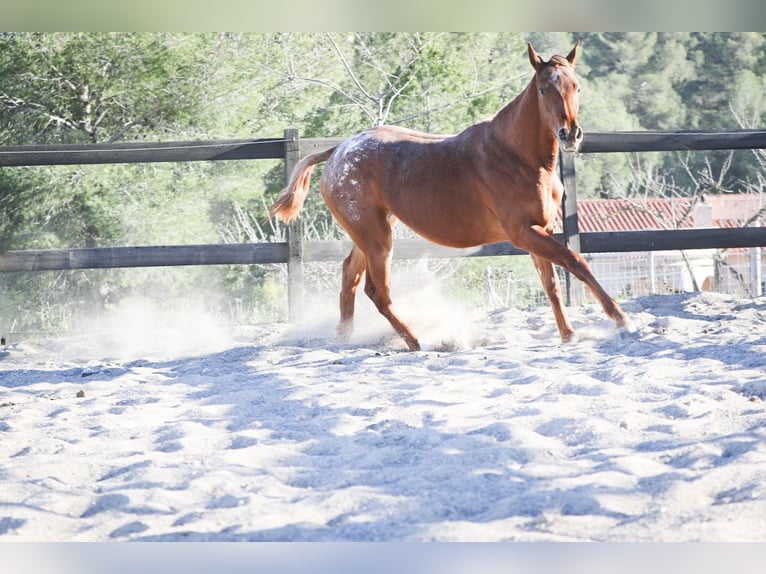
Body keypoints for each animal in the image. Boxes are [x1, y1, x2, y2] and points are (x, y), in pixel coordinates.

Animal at [272, 41, 632, 352]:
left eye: (576, 87)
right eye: (544, 89)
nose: (570, 134)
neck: (516, 156)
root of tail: (338, 151)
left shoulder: (540, 230)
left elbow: (552, 285)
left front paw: (569, 335)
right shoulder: (523, 233)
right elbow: (575, 261)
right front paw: (620, 319)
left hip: (370, 232)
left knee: (350, 275)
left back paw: (345, 337)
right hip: (375, 238)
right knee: (377, 291)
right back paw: (417, 341)